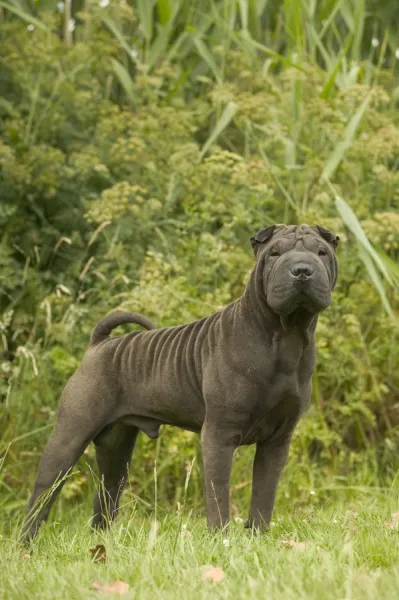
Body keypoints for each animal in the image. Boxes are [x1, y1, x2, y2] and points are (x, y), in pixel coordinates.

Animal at [21, 223, 340, 540]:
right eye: (274, 253)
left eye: (321, 252)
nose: (302, 270)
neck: (285, 336)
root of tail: (100, 344)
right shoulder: (220, 433)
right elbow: (218, 494)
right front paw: (221, 538)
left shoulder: (277, 440)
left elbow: (264, 494)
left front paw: (258, 536)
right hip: (70, 435)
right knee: (42, 494)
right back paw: (27, 543)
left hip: (116, 449)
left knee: (106, 494)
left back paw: (102, 541)